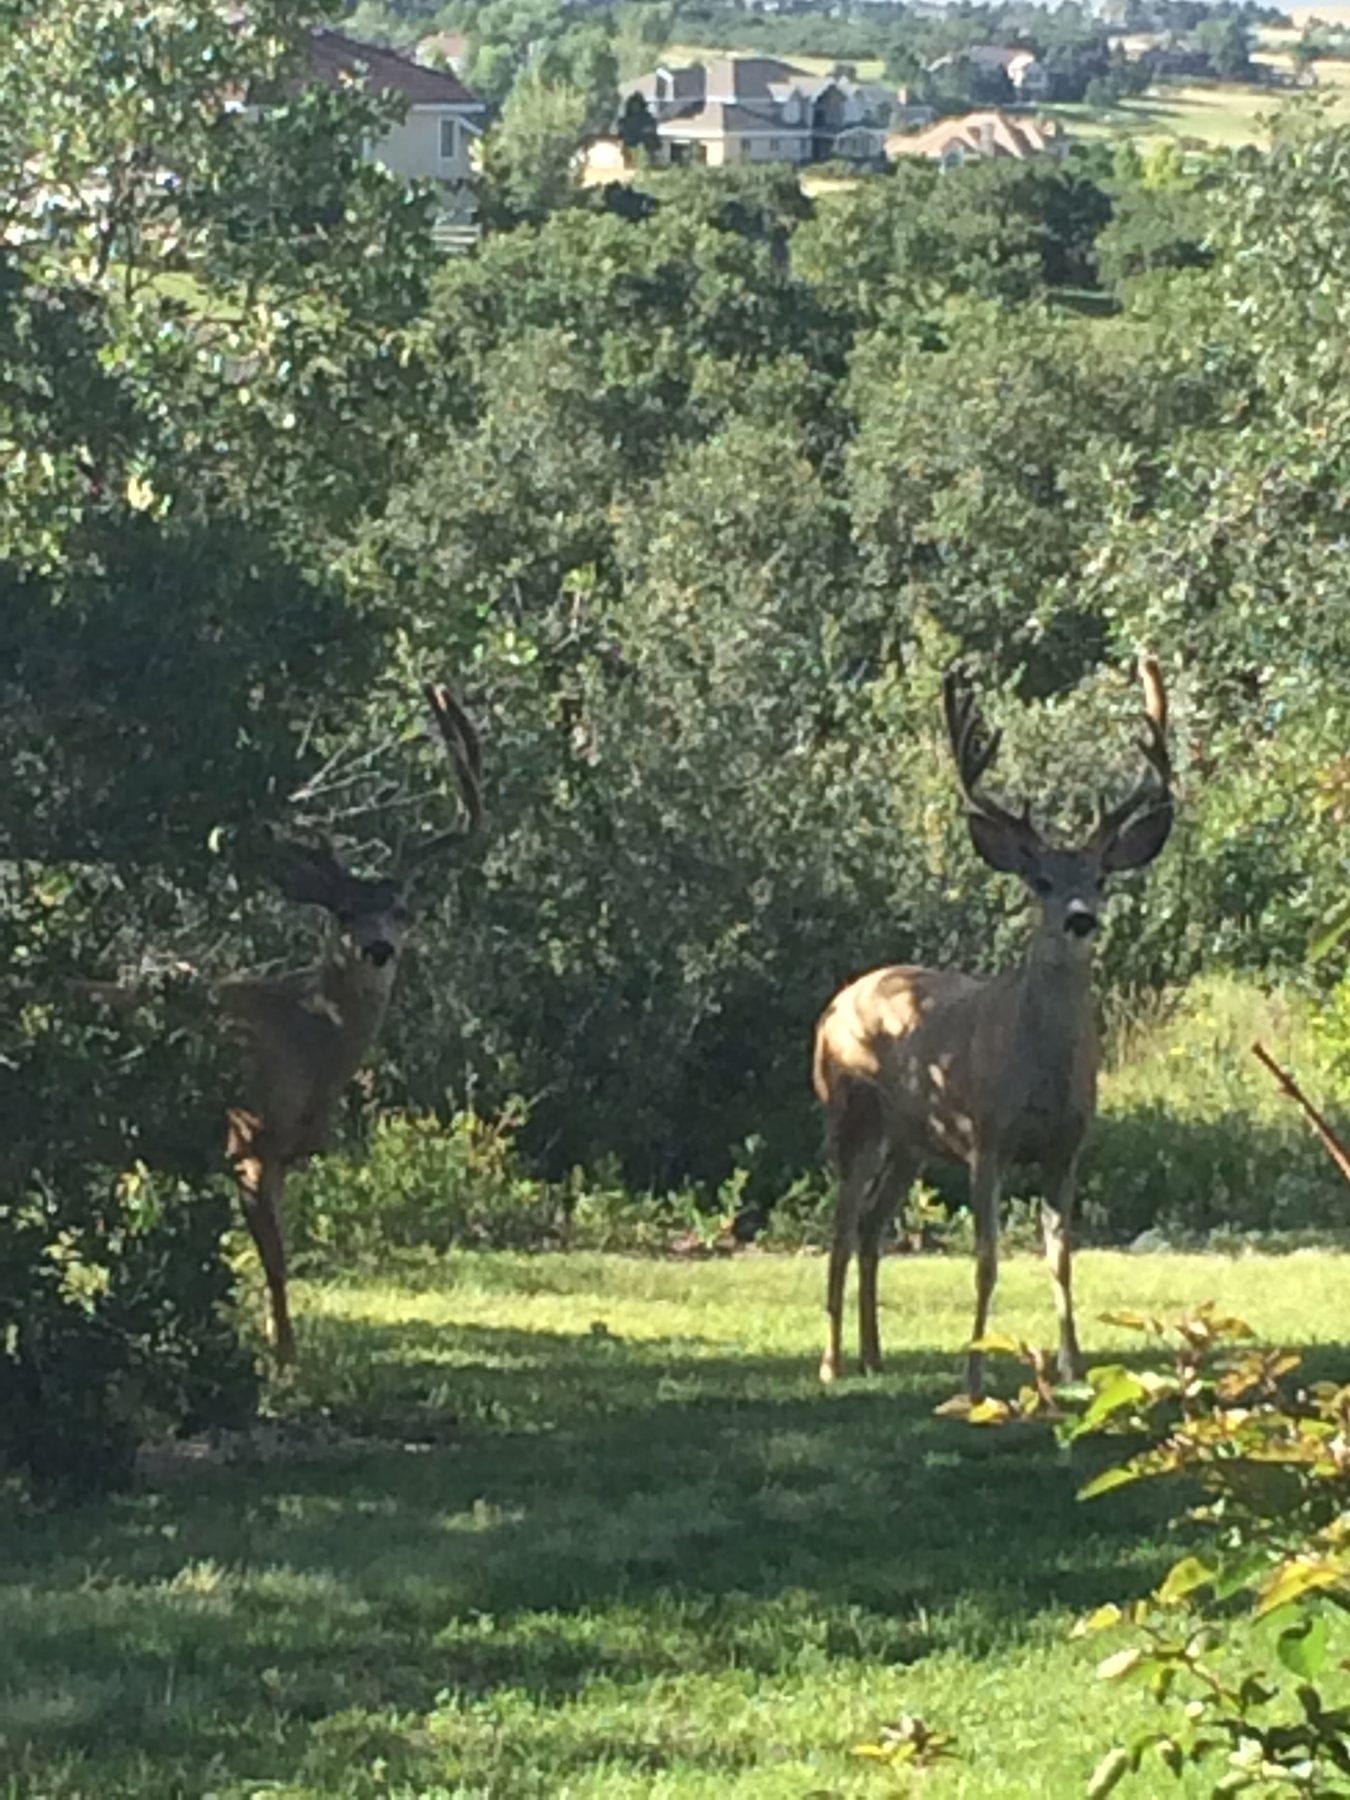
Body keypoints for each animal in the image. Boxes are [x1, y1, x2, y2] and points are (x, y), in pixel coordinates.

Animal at [221, 682, 481, 1365]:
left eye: (402, 911)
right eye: (342, 912)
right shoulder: (247, 1140)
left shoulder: (282, 1156)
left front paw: (277, 1350)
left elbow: (276, 1260)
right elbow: (276, 1262)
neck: (307, 1044)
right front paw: (284, 1363)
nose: (377, 949)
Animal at [812, 658, 1172, 1397]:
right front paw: (973, 1377)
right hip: (849, 1110)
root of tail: (842, 998)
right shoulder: (986, 1136)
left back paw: (874, 1355)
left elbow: (1061, 1258)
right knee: (839, 1224)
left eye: (1100, 877)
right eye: (1040, 881)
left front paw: (1074, 1370)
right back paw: (832, 1361)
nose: (1080, 919)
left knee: (871, 1223)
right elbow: (985, 1260)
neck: (1039, 1072)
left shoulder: (1067, 1147)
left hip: (911, 1139)